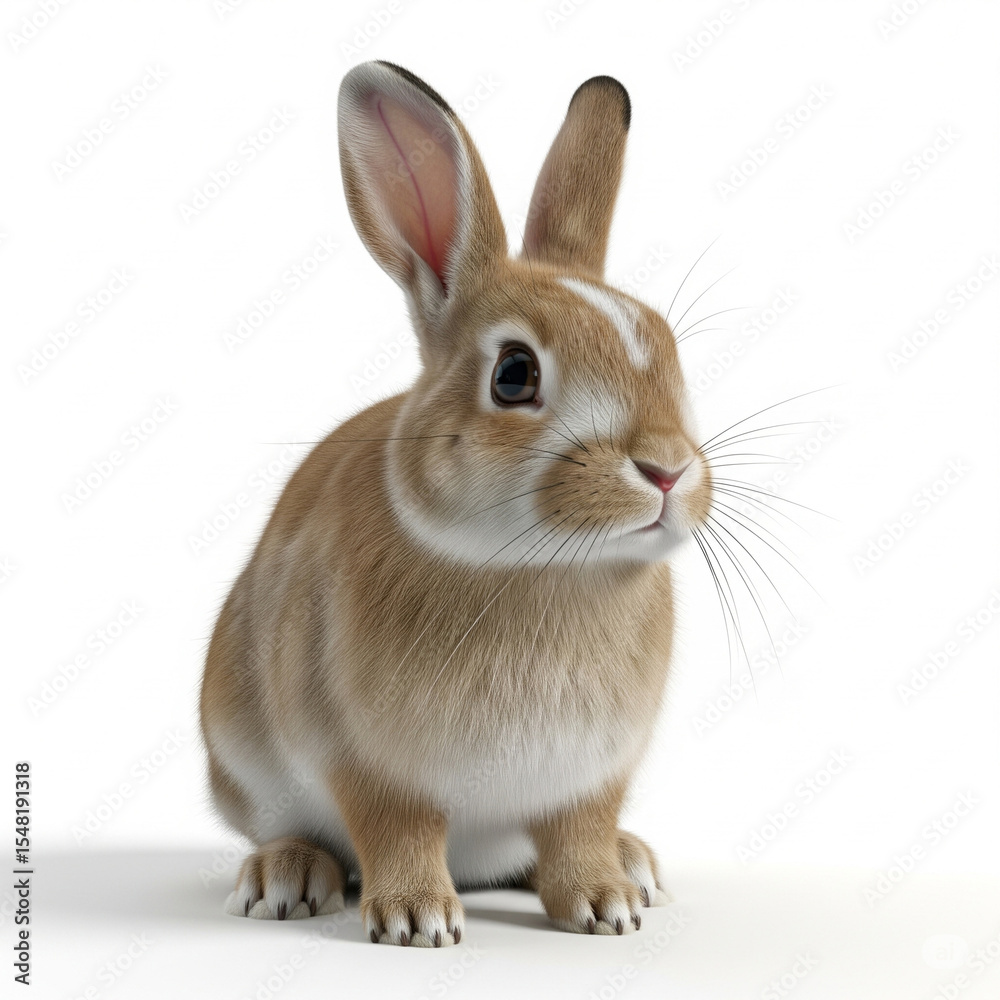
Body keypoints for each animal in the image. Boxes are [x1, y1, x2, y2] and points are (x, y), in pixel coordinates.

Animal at [199, 59, 712, 947]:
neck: (541, 570)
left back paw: (635, 862)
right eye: (513, 374)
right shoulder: (370, 766)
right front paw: (417, 921)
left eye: (667, 347)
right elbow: (398, 830)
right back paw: (285, 878)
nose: (667, 470)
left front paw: (606, 905)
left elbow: (578, 833)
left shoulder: (591, 775)